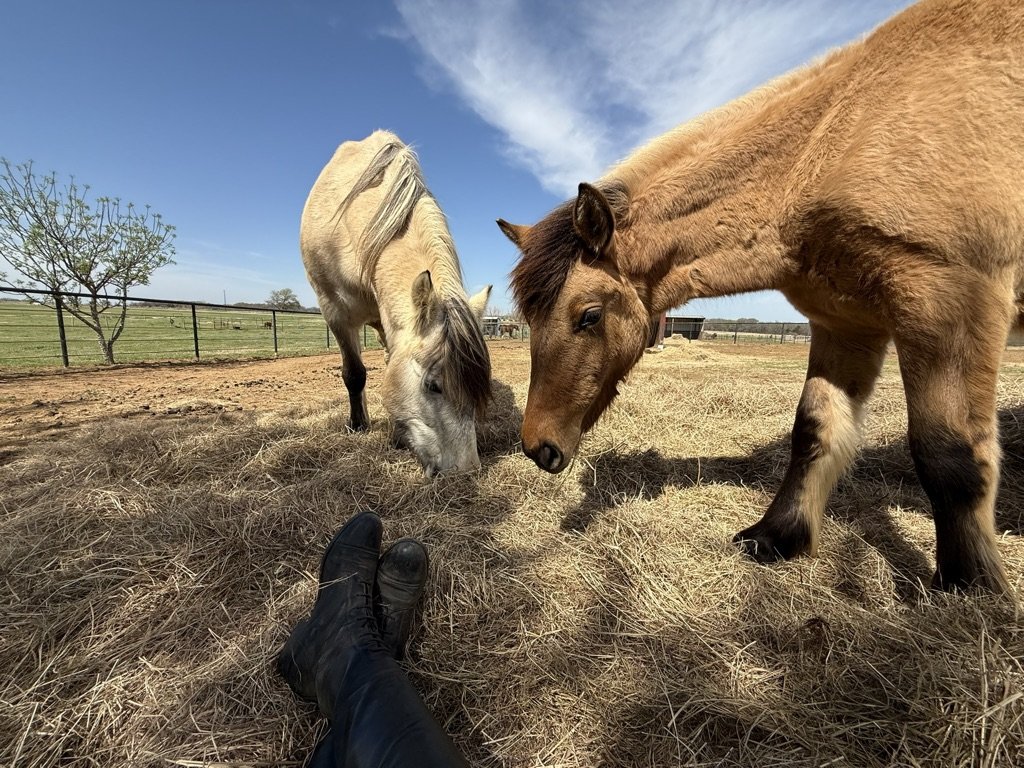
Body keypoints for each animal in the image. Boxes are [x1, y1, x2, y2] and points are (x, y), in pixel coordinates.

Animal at [497, 0, 1023, 592]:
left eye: (587, 316)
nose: (538, 448)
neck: (838, 137)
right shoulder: (846, 325)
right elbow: (815, 430)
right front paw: (778, 536)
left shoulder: (948, 299)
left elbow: (948, 453)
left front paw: (973, 586)